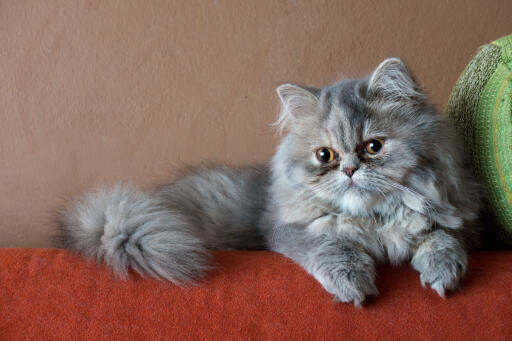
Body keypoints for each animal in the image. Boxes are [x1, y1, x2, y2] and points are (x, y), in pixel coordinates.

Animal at [58, 58, 482, 306]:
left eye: (373, 147)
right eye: (325, 155)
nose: (348, 170)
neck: (374, 220)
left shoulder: (455, 219)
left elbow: (443, 239)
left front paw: (444, 273)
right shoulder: (288, 230)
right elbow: (333, 248)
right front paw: (353, 284)